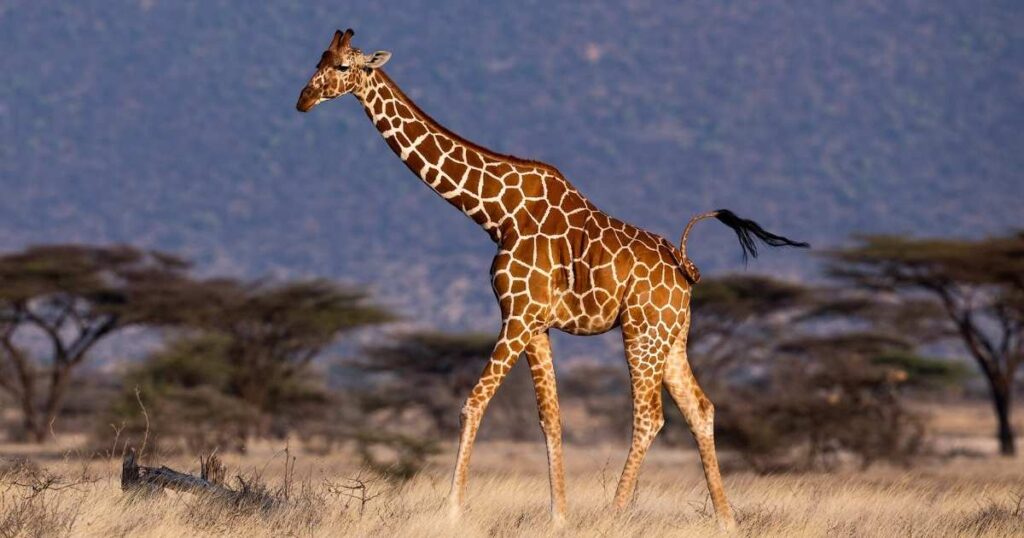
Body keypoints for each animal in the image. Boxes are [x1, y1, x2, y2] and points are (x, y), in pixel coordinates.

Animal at [297, 29, 808, 530]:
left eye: (342, 66)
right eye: (317, 59)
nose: (303, 99)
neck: (496, 213)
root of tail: (685, 268)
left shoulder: (518, 315)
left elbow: (473, 403)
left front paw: (452, 510)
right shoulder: (535, 323)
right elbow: (550, 418)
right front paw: (558, 515)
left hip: (641, 331)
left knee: (649, 417)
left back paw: (614, 515)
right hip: (671, 335)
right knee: (700, 409)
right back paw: (726, 519)